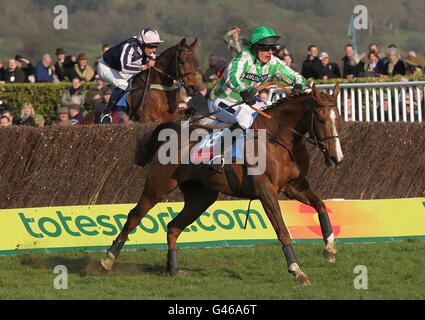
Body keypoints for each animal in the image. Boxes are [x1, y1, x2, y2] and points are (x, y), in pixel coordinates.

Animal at [101, 83, 342, 284]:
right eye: (321, 119)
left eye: (338, 118)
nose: (336, 158)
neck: (279, 139)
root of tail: (175, 132)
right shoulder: (267, 191)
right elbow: (282, 230)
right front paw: (297, 271)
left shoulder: (294, 186)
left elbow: (321, 205)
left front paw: (330, 249)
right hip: (158, 187)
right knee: (134, 216)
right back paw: (108, 259)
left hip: (201, 198)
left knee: (173, 226)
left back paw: (173, 268)